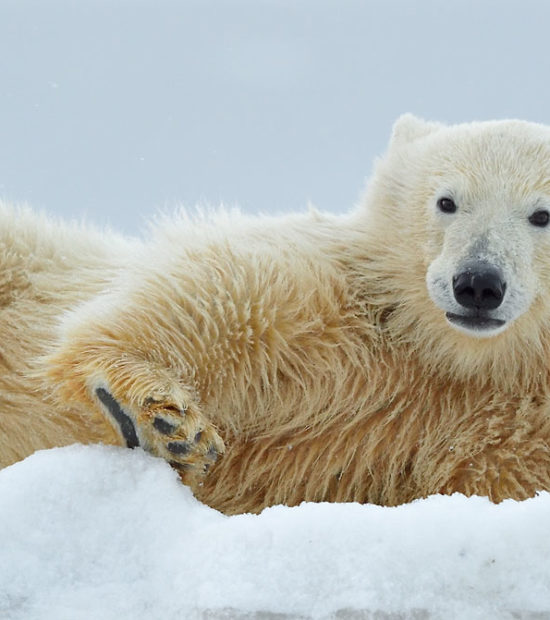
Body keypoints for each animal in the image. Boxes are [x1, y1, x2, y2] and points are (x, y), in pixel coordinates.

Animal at [3, 115, 550, 512]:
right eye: (446, 201)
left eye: (542, 213)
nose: (477, 283)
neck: (456, 359)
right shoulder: (334, 294)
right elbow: (220, 293)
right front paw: (160, 418)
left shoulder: (514, 428)